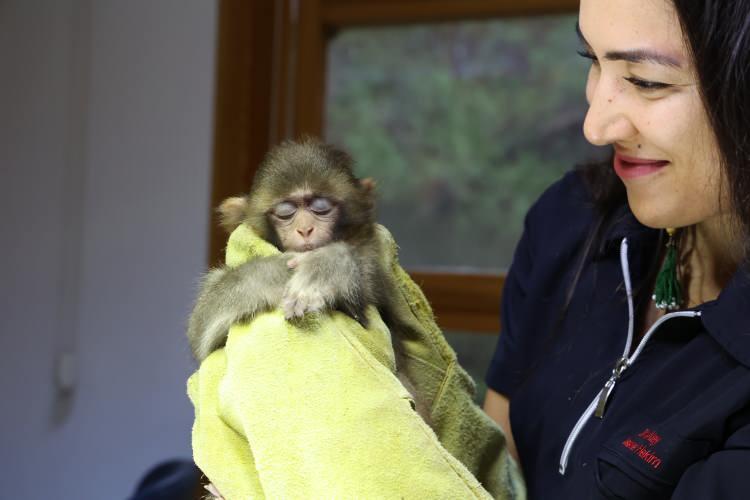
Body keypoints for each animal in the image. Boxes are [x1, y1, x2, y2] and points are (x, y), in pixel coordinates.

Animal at [188, 139, 394, 362]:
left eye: (321, 207)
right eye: (285, 212)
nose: (305, 229)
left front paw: (326, 269)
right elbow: (201, 328)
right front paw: (278, 272)